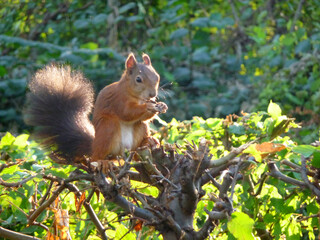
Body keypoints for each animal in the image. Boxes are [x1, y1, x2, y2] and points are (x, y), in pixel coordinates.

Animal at [25, 53, 168, 164]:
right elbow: (126, 113)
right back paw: (102, 163)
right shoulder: (118, 100)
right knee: (96, 157)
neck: (135, 96)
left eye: (157, 77)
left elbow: (143, 117)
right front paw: (148, 106)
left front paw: (161, 106)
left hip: (140, 129)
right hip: (107, 128)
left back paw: (148, 141)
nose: (153, 94)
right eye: (138, 79)